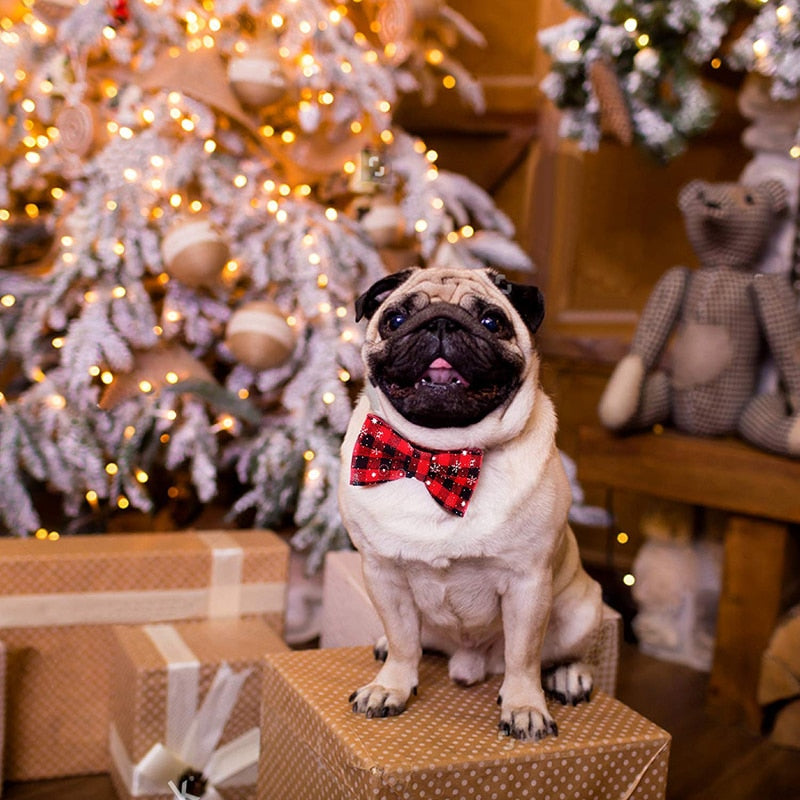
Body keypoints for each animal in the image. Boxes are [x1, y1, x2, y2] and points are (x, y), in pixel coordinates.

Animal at [336, 266, 600, 740]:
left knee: (561, 654)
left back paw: (570, 675)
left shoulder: (528, 583)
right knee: (413, 641)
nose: (441, 322)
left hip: (583, 608)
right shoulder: (383, 575)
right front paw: (391, 687)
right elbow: (403, 642)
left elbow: (523, 657)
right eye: (396, 319)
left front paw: (524, 706)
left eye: (493, 322)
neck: (439, 456)